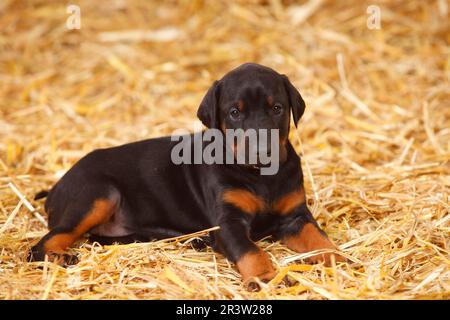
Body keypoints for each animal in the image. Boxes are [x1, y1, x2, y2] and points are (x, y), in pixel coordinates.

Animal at [29, 63, 344, 290]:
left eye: (277, 108)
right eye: (234, 113)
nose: (261, 151)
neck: (260, 177)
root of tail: (56, 187)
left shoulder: (295, 216)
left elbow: (318, 237)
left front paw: (340, 258)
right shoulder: (228, 223)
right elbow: (249, 250)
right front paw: (266, 277)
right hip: (100, 193)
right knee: (42, 244)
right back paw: (59, 256)